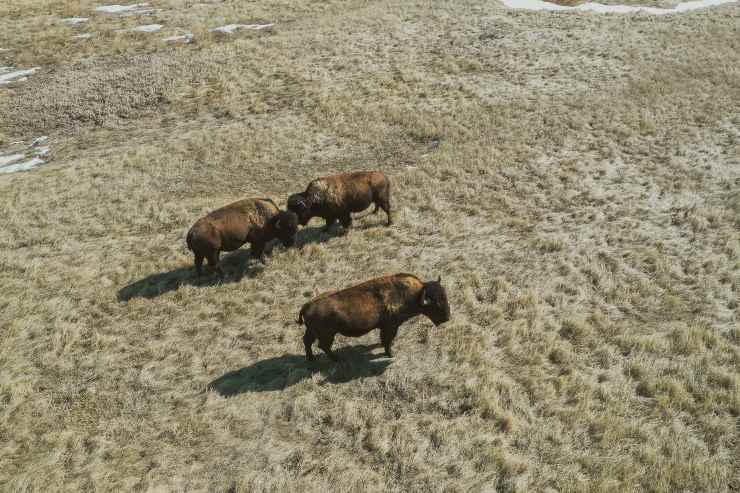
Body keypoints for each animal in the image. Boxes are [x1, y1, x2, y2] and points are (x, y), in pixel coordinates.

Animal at [296, 272, 448, 362]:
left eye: (445, 296)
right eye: (437, 304)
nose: (447, 318)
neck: (414, 295)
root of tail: (307, 305)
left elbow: (384, 340)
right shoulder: (390, 327)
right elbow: (387, 340)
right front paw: (390, 354)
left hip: (312, 331)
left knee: (307, 341)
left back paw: (311, 359)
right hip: (328, 335)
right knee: (323, 346)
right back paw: (337, 358)